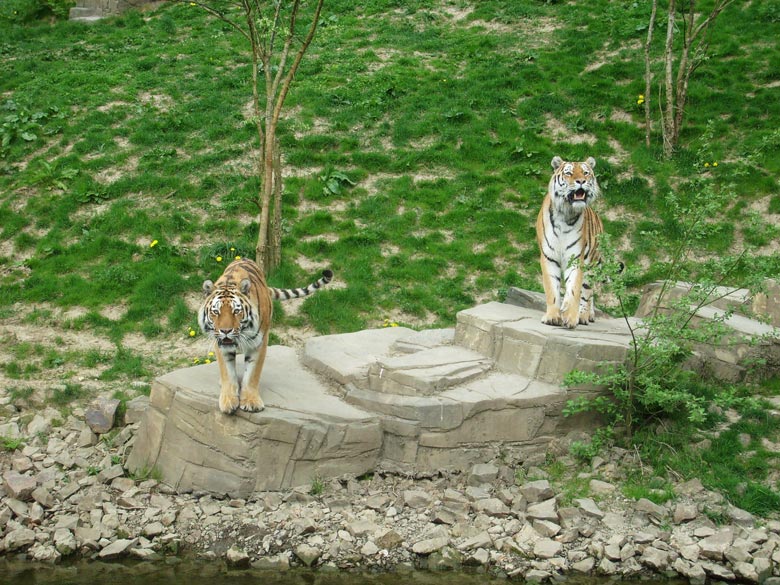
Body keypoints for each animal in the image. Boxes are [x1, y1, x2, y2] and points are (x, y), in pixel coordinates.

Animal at [198, 258, 332, 412]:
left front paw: (251, 401)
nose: (226, 331)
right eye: (216, 312)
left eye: (236, 311)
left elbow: (252, 373)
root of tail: (243, 258)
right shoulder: (220, 344)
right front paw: (228, 400)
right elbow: (227, 371)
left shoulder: (259, 343)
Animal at [536, 155, 604, 328]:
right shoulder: (549, 256)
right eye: (569, 173)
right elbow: (552, 288)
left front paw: (571, 317)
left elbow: (574, 289)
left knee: (587, 292)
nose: (581, 181)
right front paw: (553, 317)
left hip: (592, 263)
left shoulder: (576, 258)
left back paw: (584, 316)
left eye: (586, 173)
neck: (565, 215)